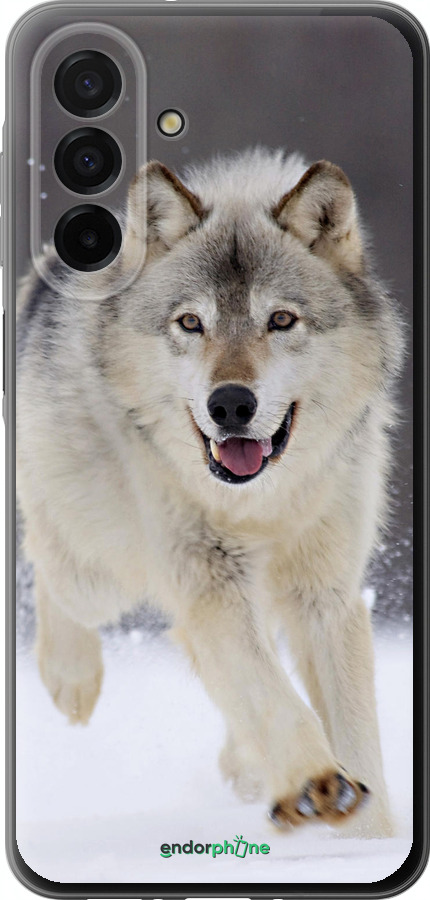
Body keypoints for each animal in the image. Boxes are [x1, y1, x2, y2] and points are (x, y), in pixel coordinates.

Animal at [17, 148, 403, 837]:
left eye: (281, 320)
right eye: (191, 323)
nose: (230, 405)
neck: (261, 503)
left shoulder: (325, 593)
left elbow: (354, 731)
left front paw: (369, 837)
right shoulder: (209, 581)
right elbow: (272, 695)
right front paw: (316, 783)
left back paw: (246, 766)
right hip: (101, 572)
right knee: (47, 562)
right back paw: (71, 680)